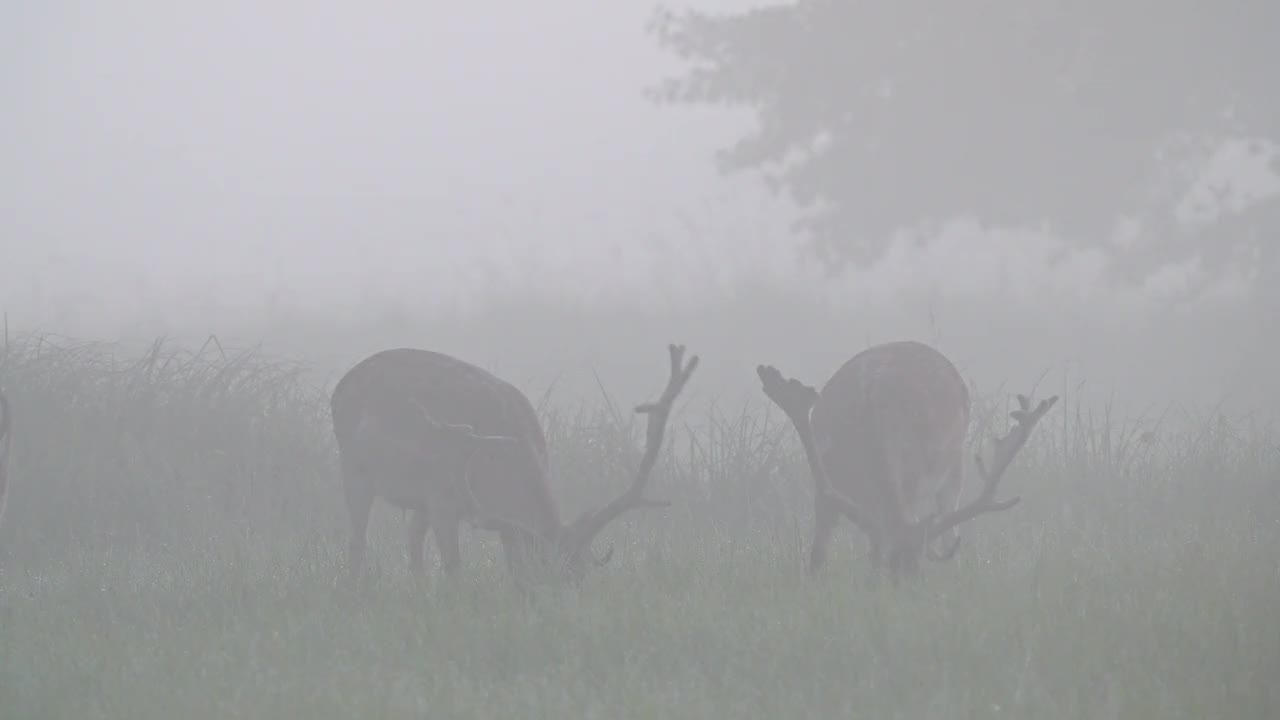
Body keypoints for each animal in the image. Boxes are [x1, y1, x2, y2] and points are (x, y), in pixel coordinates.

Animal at [325, 340, 696, 584]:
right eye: (549, 576)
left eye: (581, 576)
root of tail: (339, 387)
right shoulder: (443, 496)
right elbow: (454, 565)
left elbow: (509, 560)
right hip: (354, 467)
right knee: (358, 539)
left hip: (415, 497)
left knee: (412, 543)